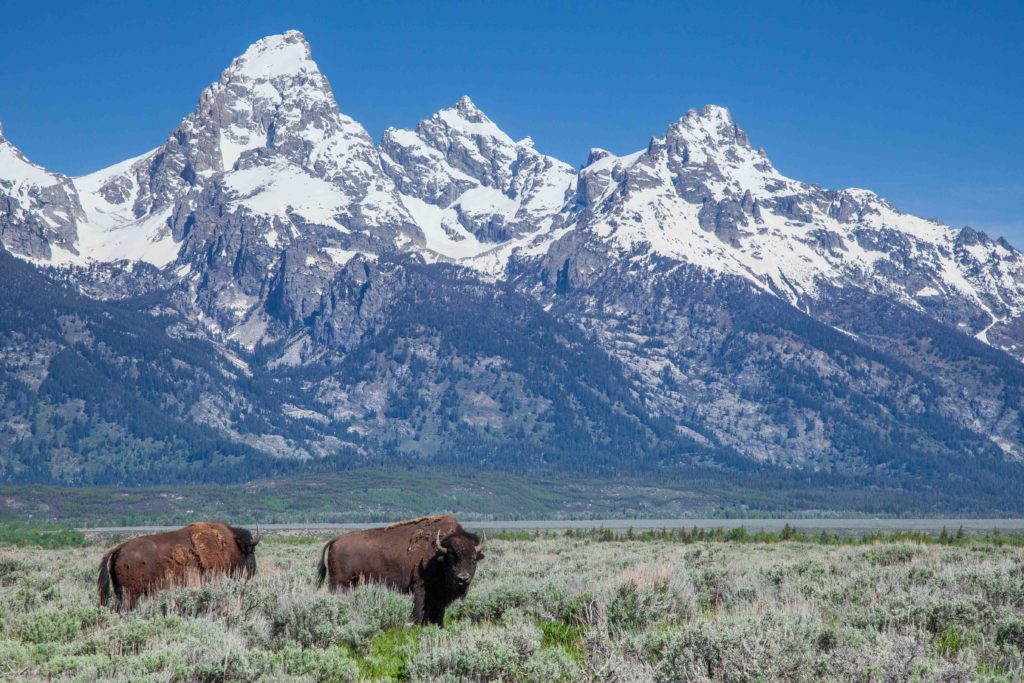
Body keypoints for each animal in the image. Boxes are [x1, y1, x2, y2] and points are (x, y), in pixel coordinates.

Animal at [96, 520, 260, 610]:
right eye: (251, 551)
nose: (254, 571)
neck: (229, 546)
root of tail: (120, 548)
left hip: (120, 593)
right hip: (130, 594)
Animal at [315, 518, 483, 626]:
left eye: (473, 559)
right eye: (452, 558)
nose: (463, 578)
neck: (438, 555)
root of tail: (336, 540)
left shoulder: (439, 597)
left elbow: (437, 616)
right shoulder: (420, 588)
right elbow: (418, 612)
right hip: (339, 584)